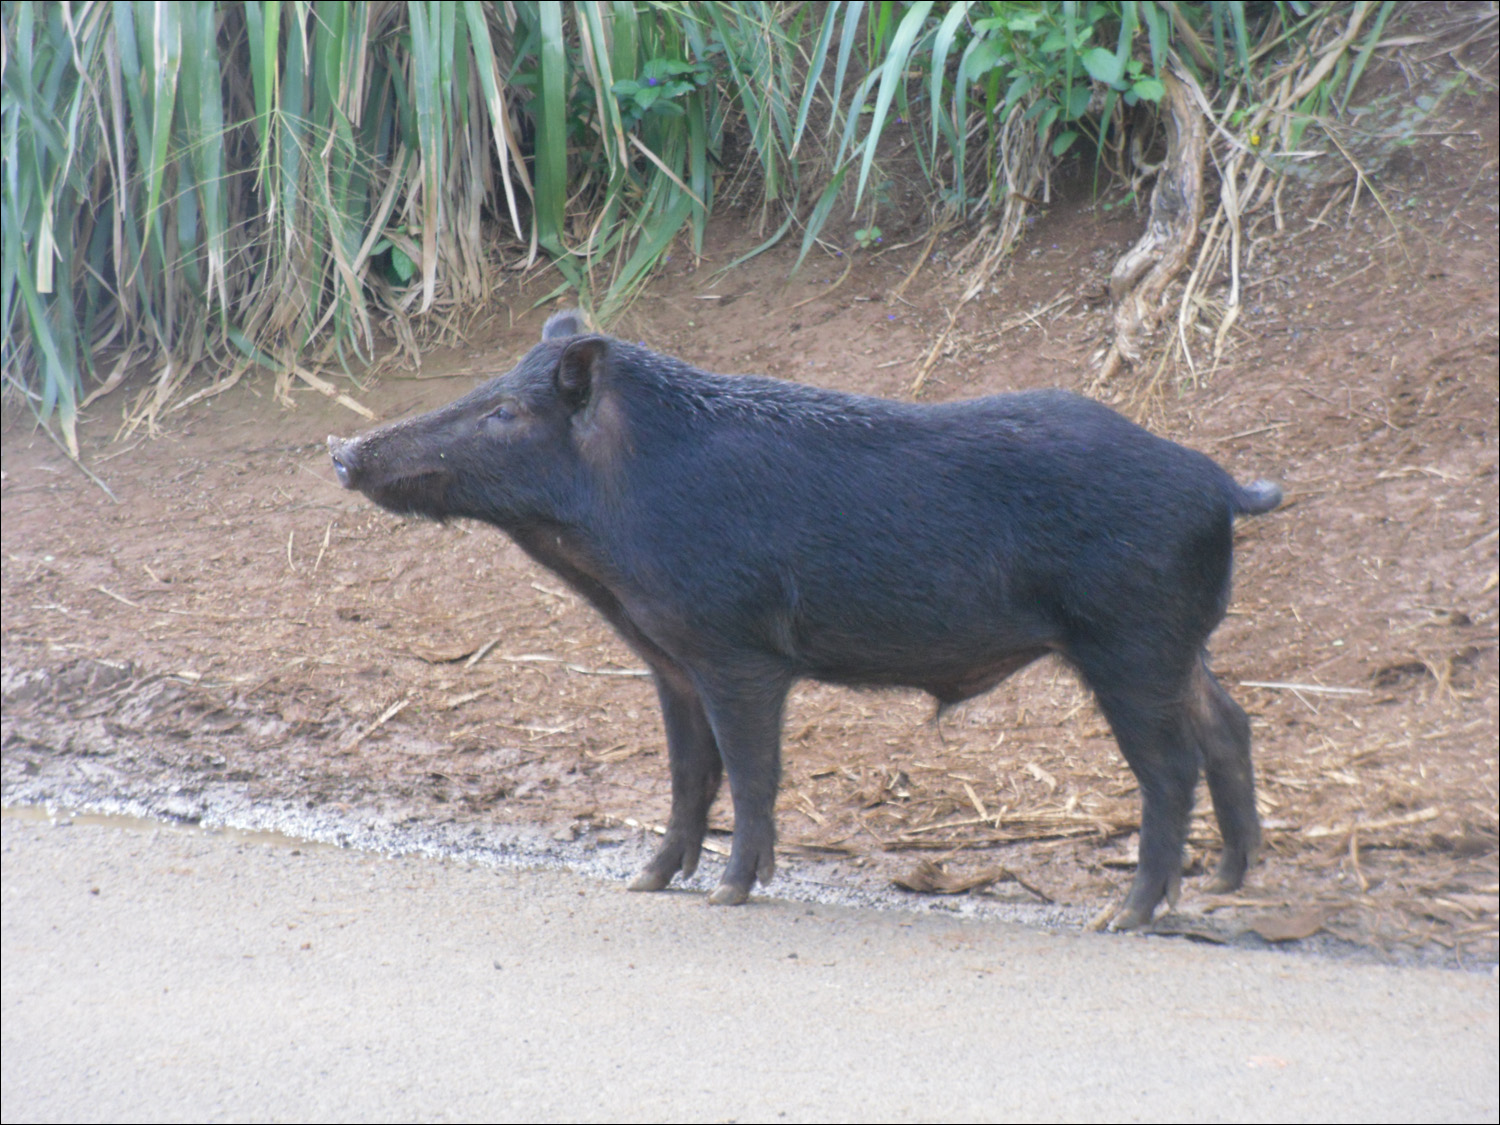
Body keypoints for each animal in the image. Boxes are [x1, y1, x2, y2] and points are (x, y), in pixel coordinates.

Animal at [334, 313, 1284, 930]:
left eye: (503, 412)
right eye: (487, 386)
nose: (343, 451)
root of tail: (1220, 485)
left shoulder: (735, 650)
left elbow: (752, 771)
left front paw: (728, 894)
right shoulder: (668, 660)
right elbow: (688, 773)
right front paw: (646, 882)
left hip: (1129, 640)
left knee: (1172, 765)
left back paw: (1124, 916)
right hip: (1177, 644)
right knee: (1230, 723)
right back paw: (1229, 882)